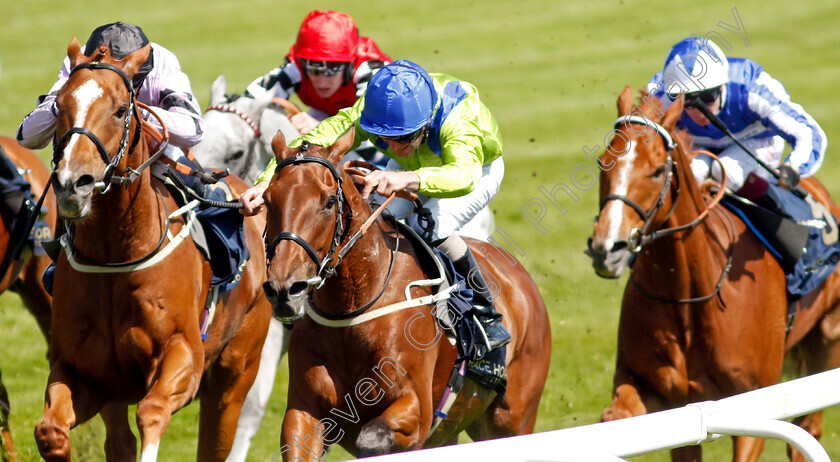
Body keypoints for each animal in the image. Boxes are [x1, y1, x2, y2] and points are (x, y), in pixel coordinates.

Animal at [35, 39, 270, 462]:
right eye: (59, 105)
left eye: (120, 109)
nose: (73, 183)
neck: (117, 253)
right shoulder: (81, 371)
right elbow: (51, 431)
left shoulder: (186, 357)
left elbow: (153, 408)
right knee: (118, 440)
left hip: (237, 367)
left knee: (217, 439)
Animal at [260, 130, 552, 458]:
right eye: (267, 199)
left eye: (329, 201)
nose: (284, 289)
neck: (351, 308)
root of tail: (523, 280)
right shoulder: (303, 414)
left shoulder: (416, 410)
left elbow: (372, 438)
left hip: (512, 419)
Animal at [588, 85, 840, 460]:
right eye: (603, 163)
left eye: (656, 171)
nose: (607, 249)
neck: (689, 297)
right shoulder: (666, 398)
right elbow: (615, 420)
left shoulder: (754, 402)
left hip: (826, 342)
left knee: (808, 429)